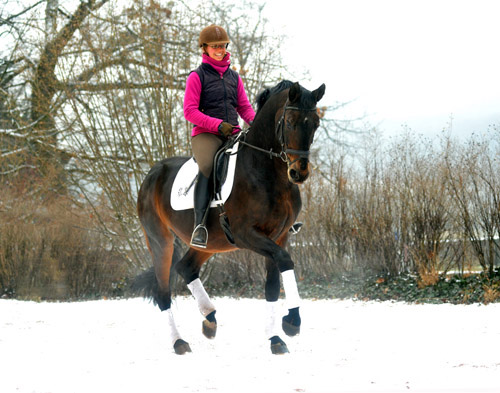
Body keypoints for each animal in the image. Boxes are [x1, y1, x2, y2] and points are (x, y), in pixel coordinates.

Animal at [135, 78, 326, 354]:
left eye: (315, 123)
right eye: (290, 121)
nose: (299, 173)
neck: (268, 172)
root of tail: (152, 174)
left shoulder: (279, 237)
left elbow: (272, 285)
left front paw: (275, 338)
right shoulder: (247, 235)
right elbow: (285, 261)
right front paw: (292, 321)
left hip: (211, 242)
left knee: (186, 267)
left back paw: (209, 319)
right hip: (161, 241)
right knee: (163, 292)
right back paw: (179, 342)